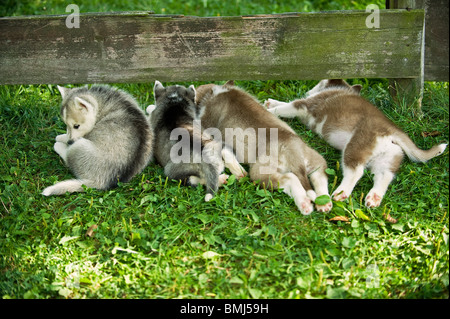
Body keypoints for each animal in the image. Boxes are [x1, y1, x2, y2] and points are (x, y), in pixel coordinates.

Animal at [195, 80, 332, 216]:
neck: (214, 93)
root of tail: (290, 147)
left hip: (260, 172)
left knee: (290, 178)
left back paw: (305, 205)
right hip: (314, 159)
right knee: (319, 175)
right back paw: (323, 203)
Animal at [266, 79, 448, 208]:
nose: (307, 90)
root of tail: (392, 129)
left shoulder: (305, 105)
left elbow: (286, 107)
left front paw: (269, 109)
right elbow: (284, 104)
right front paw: (271, 102)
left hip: (356, 146)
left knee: (356, 171)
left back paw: (341, 193)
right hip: (389, 156)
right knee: (384, 176)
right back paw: (374, 197)